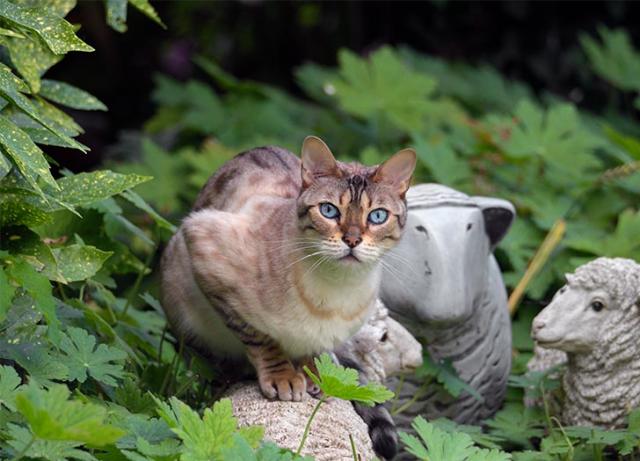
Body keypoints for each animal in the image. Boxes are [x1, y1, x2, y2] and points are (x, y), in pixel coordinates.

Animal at [160, 135, 416, 400]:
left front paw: (315, 376)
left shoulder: (320, 336)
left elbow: (312, 352)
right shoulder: (205, 251)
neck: (338, 288)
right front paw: (283, 378)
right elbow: (261, 339)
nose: (352, 240)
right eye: (329, 210)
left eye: (377, 216)